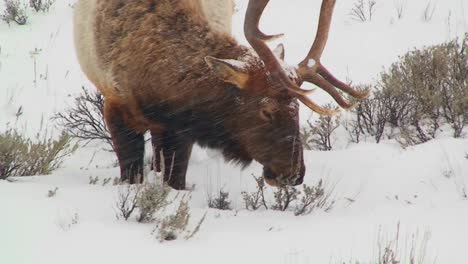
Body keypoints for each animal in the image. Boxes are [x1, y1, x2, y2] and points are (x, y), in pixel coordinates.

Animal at [73, 0, 368, 190]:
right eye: (266, 110)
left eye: (297, 108)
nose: (293, 175)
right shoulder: (114, 105)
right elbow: (131, 172)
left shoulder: (180, 127)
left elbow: (175, 179)